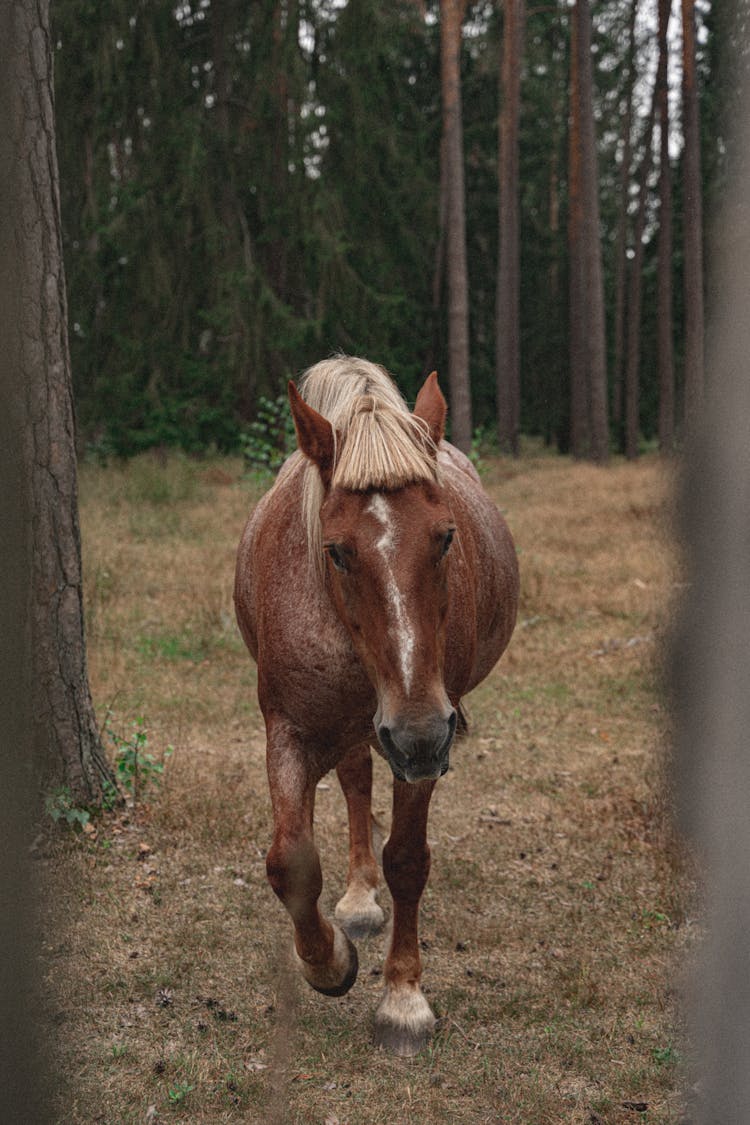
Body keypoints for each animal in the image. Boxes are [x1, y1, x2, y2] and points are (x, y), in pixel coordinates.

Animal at [232, 357, 517, 1053]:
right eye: (337, 550)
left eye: (445, 537)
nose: (418, 735)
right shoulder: (288, 729)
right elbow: (290, 862)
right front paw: (329, 963)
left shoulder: (424, 737)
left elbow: (407, 861)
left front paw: (402, 999)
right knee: (357, 777)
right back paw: (358, 902)